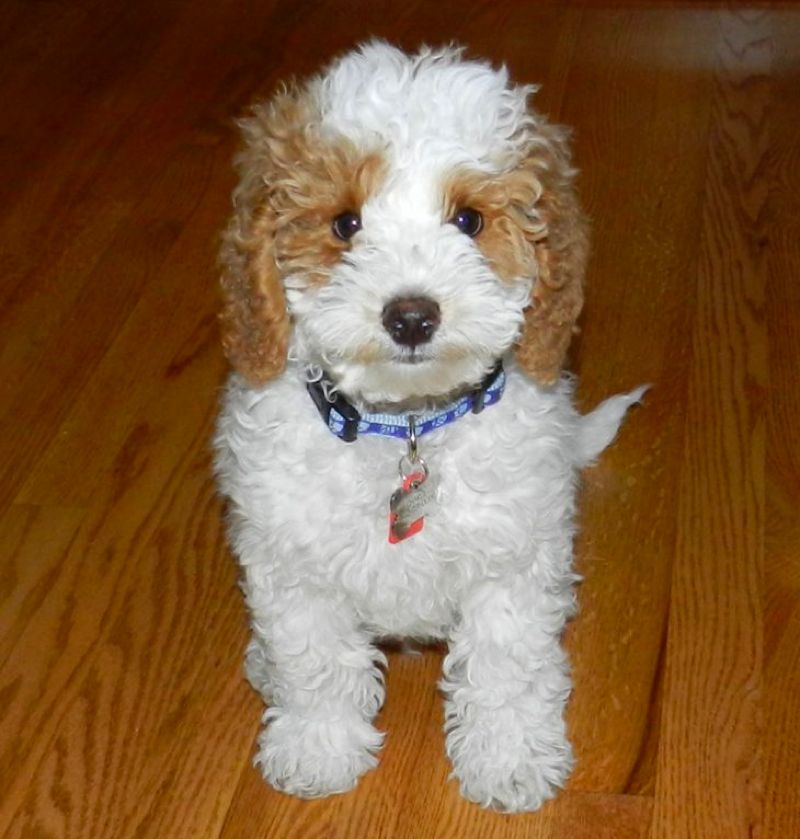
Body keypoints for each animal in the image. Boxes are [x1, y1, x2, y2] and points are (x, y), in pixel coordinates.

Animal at [212, 44, 644, 812]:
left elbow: (505, 665)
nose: (411, 316)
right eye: (344, 225)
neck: (406, 423)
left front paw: (509, 760)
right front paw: (318, 750)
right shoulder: (293, 562)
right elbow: (317, 663)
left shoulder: (512, 559)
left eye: (469, 220)